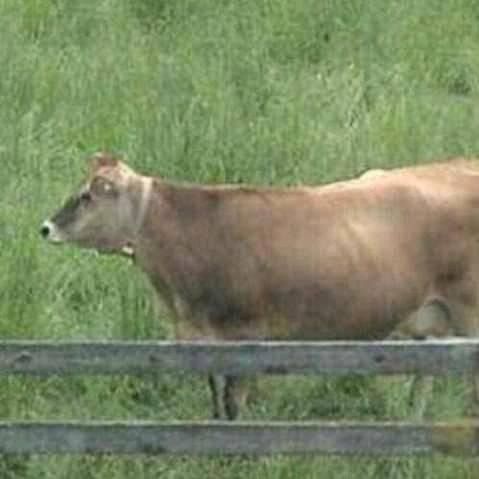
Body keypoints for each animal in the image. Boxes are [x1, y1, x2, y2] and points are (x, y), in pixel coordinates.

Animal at [40, 154, 479, 420]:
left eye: (87, 196)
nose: (45, 227)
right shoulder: (205, 338)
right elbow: (216, 396)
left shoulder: (246, 334)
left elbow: (234, 401)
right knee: (425, 379)